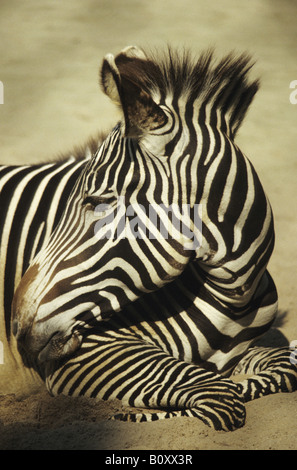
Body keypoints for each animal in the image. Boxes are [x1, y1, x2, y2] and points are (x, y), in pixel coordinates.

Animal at [2, 45, 296, 430]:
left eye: (97, 201)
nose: (16, 327)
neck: (233, 299)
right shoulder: (85, 356)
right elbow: (220, 395)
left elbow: (282, 367)